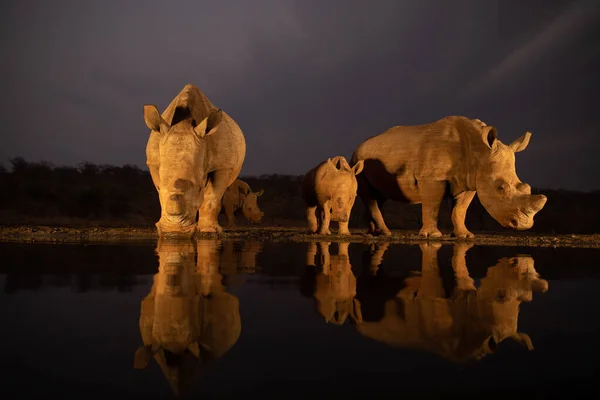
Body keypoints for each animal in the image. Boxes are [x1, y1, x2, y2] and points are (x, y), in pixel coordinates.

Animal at [144, 83, 245, 236]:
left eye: (199, 188)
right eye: (160, 187)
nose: (174, 232)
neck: (184, 123)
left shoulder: (223, 165)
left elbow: (212, 196)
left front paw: (209, 231)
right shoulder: (153, 163)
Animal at [352, 114, 548, 236]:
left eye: (526, 187)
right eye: (501, 188)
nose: (524, 225)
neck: (479, 151)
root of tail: (359, 146)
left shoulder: (470, 181)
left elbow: (460, 210)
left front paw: (464, 236)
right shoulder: (432, 177)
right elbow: (432, 205)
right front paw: (432, 235)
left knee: (379, 196)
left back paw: (373, 233)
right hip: (357, 161)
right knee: (371, 197)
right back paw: (385, 233)